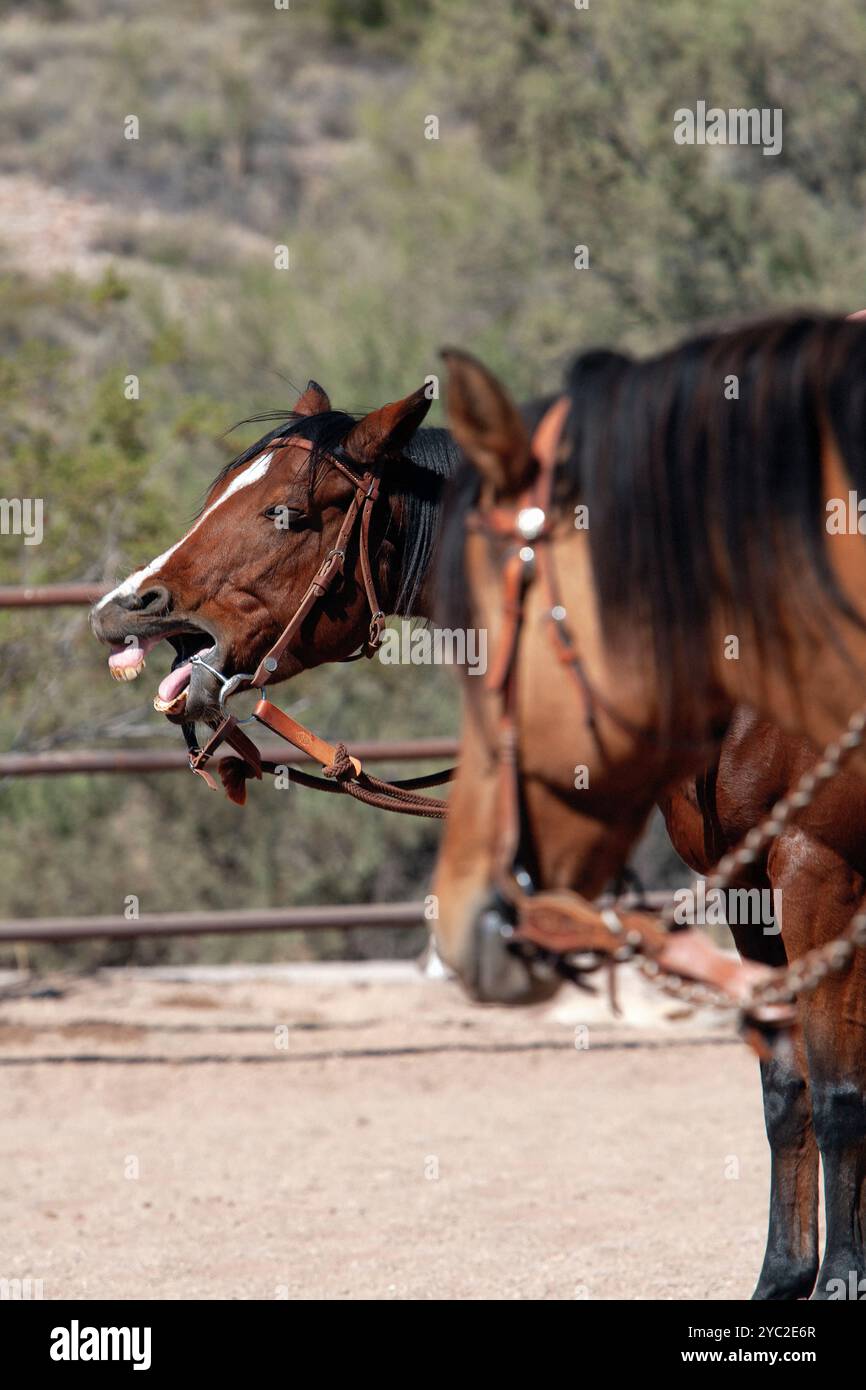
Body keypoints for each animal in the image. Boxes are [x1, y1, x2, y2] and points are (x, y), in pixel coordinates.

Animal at [432, 314, 866, 1298]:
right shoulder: (755, 890)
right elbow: (788, 1088)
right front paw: (786, 1275)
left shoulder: (822, 875)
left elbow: (839, 1090)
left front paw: (840, 1279)